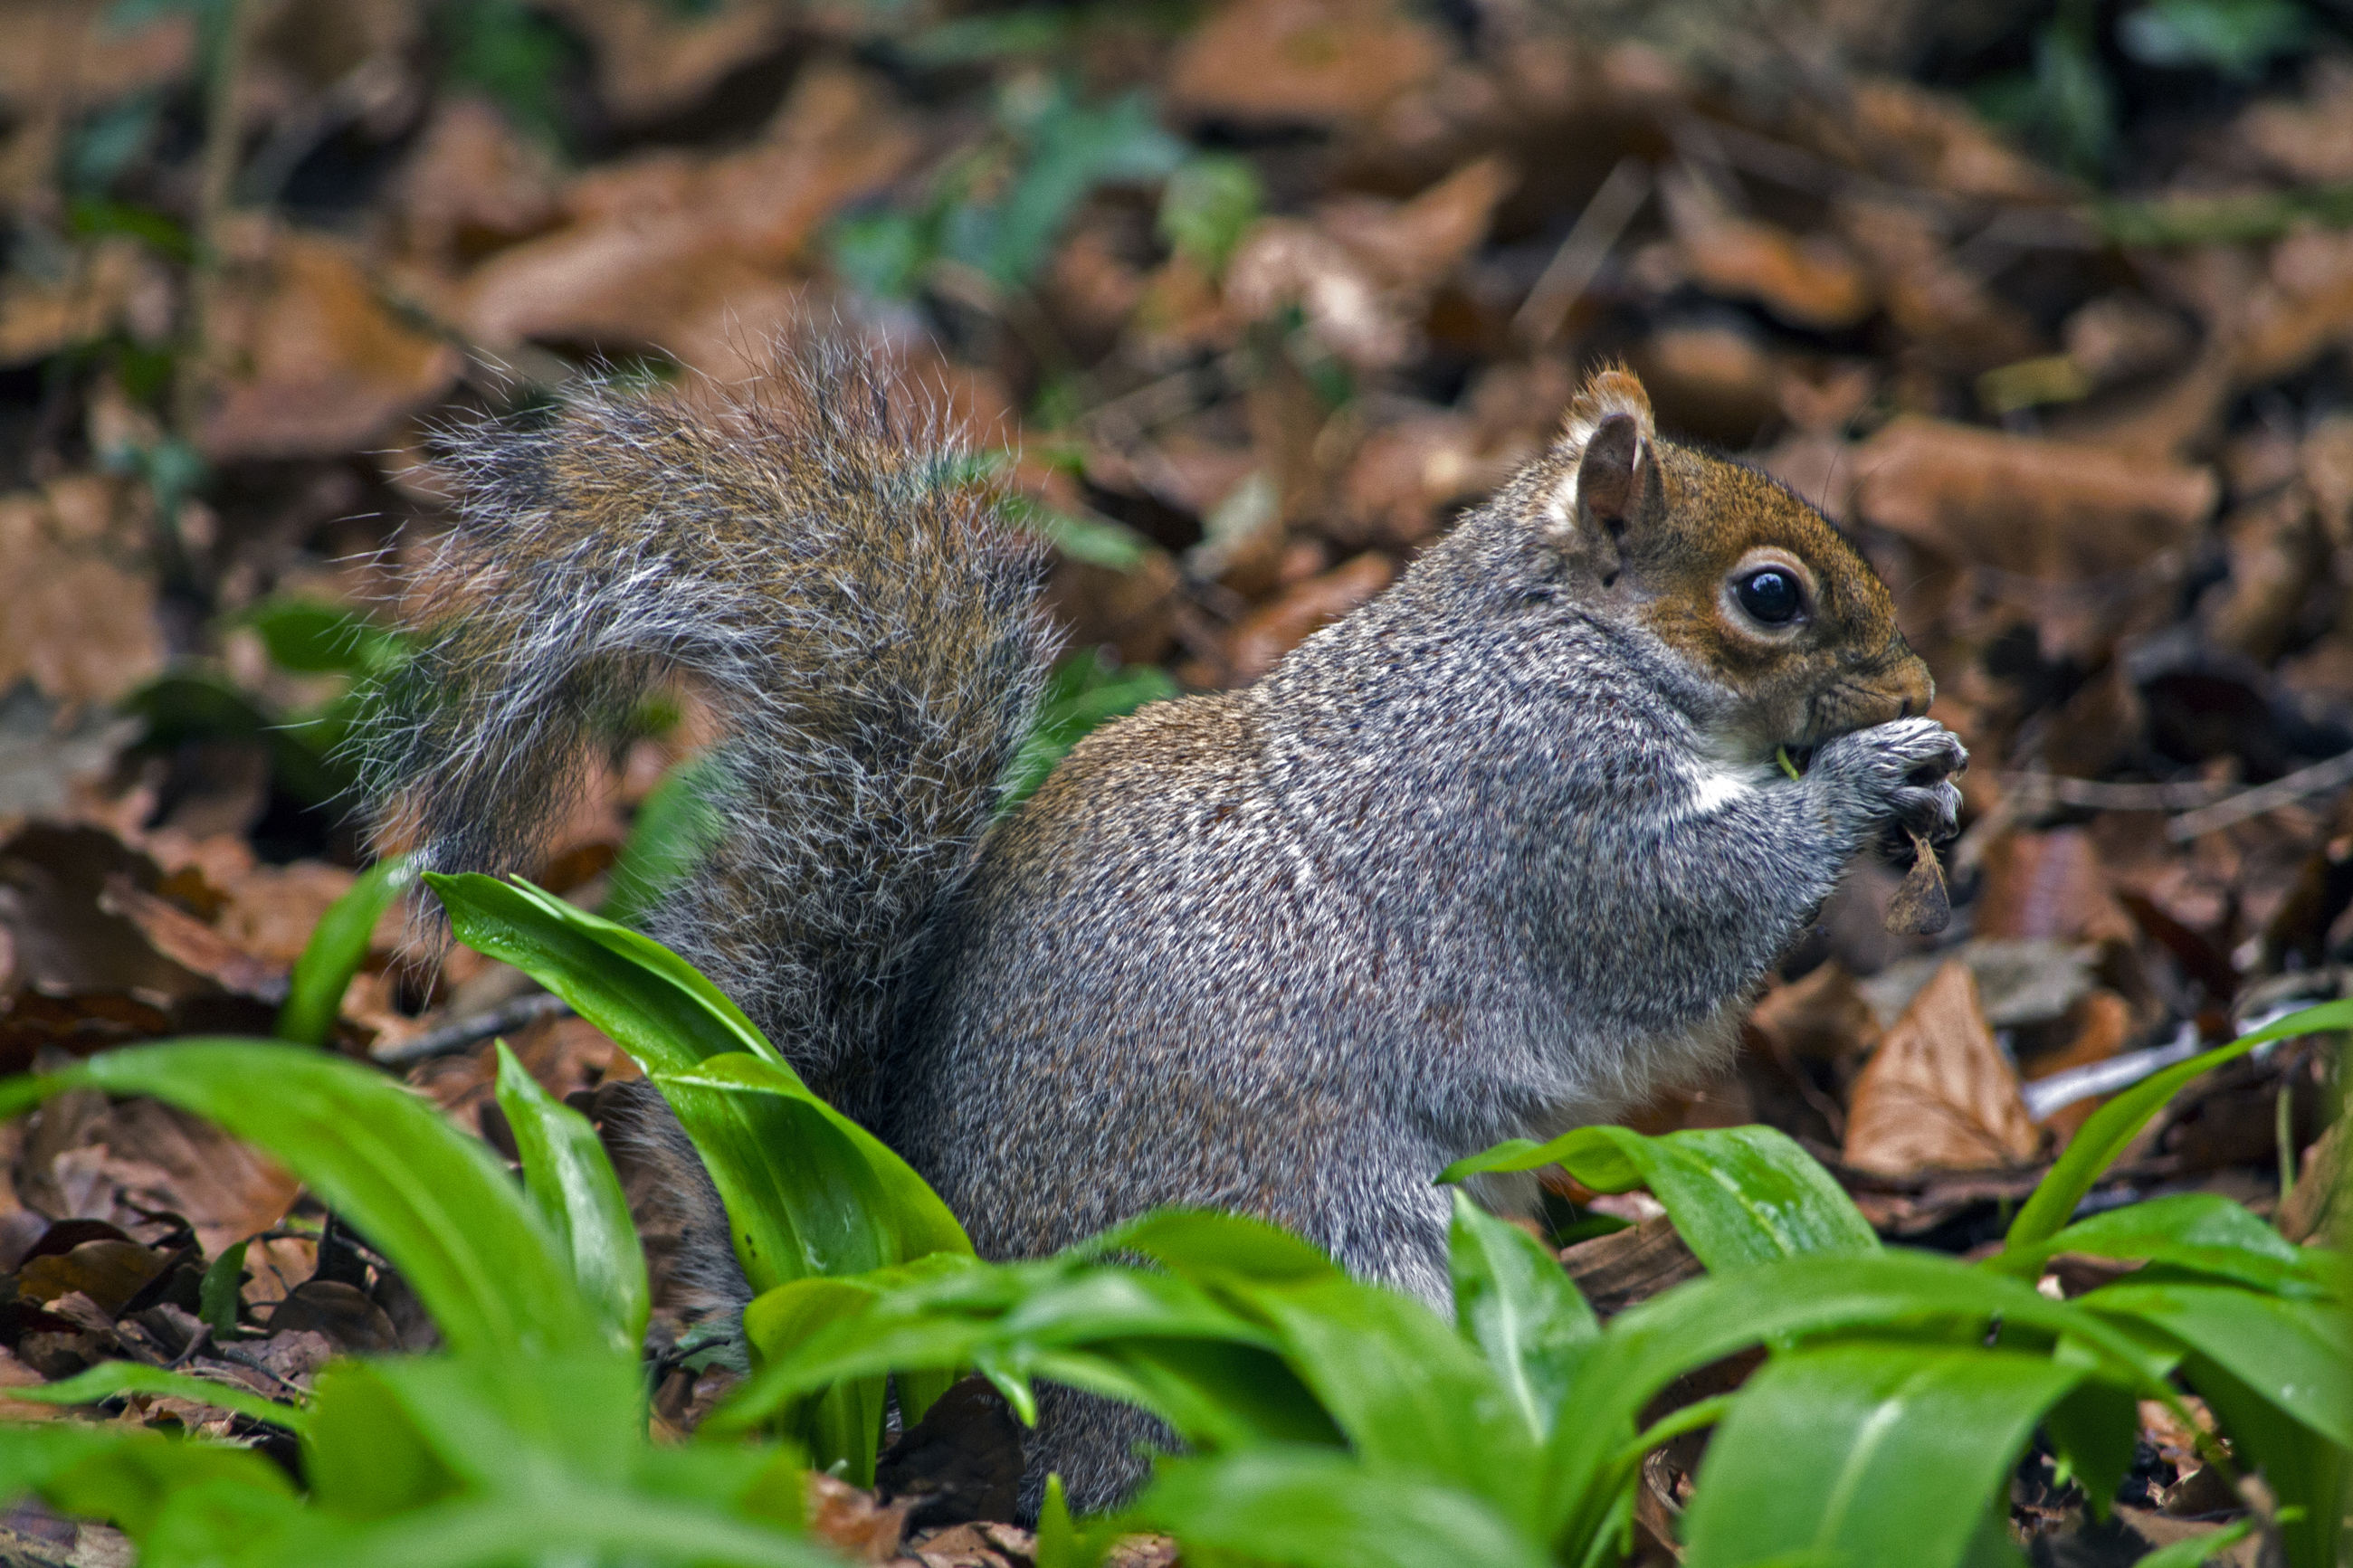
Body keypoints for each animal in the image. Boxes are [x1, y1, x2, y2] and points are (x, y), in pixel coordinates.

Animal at [363, 331, 1964, 1514]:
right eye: (1771, 596)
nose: (1918, 678)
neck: (1562, 638)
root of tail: (952, 1349)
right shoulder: (1544, 806)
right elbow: (1685, 913)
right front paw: (1867, 782)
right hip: (1324, 1243)